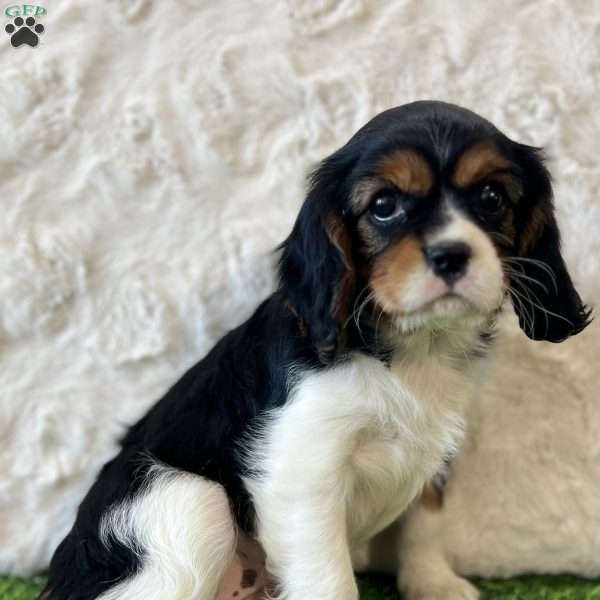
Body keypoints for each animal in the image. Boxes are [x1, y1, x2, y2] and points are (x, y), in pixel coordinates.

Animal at [41, 103, 592, 600]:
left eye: (491, 197)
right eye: (384, 206)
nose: (451, 254)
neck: (409, 345)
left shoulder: (437, 448)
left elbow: (425, 521)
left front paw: (434, 585)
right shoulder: (303, 467)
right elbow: (330, 577)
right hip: (184, 499)